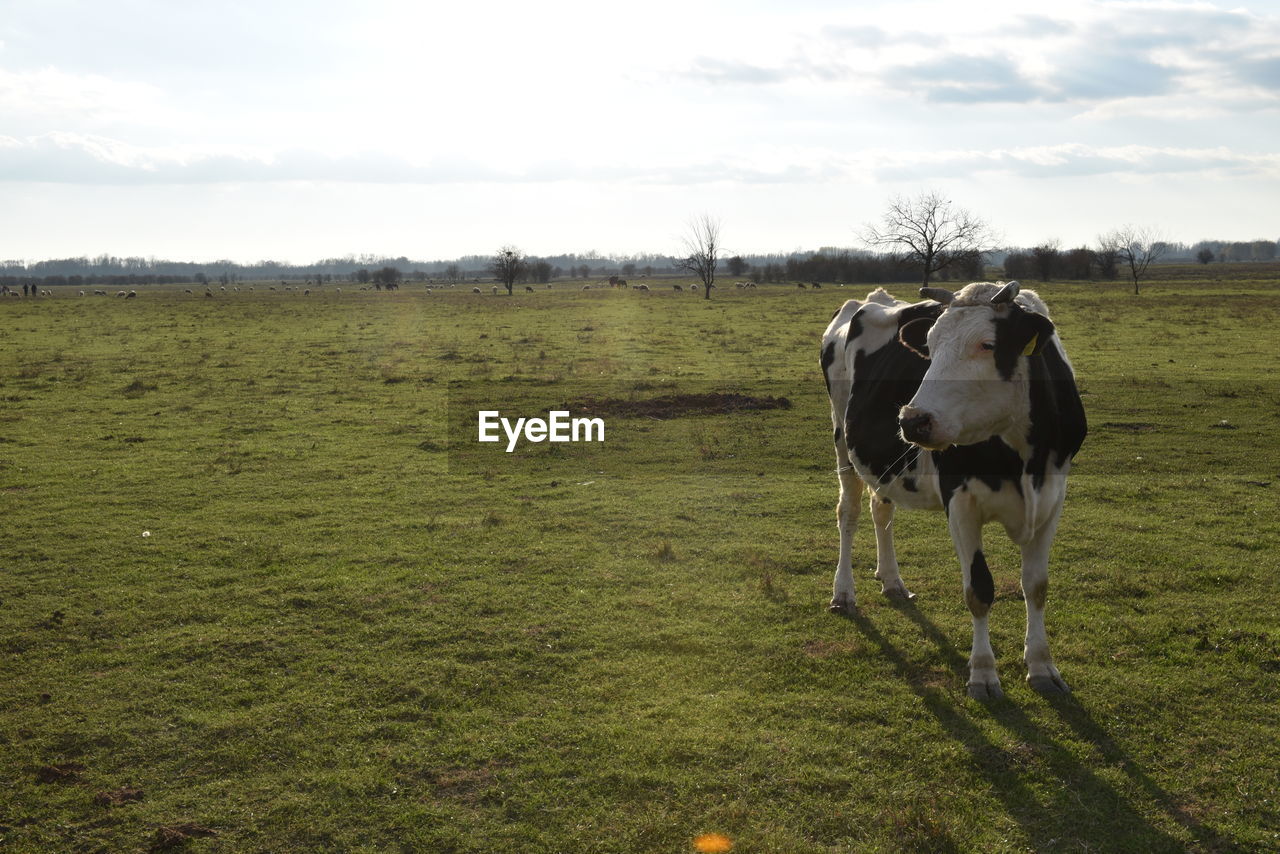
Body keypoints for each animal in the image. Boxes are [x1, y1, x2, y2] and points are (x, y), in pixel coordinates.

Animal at [819, 284, 1090, 696]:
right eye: (930, 345)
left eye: (987, 344)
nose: (912, 420)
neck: (1024, 455)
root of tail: (872, 298)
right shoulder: (961, 502)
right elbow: (979, 589)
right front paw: (983, 673)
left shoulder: (1052, 497)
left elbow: (1037, 586)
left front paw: (1042, 665)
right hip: (842, 441)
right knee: (848, 515)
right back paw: (843, 593)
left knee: (881, 510)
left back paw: (892, 580)